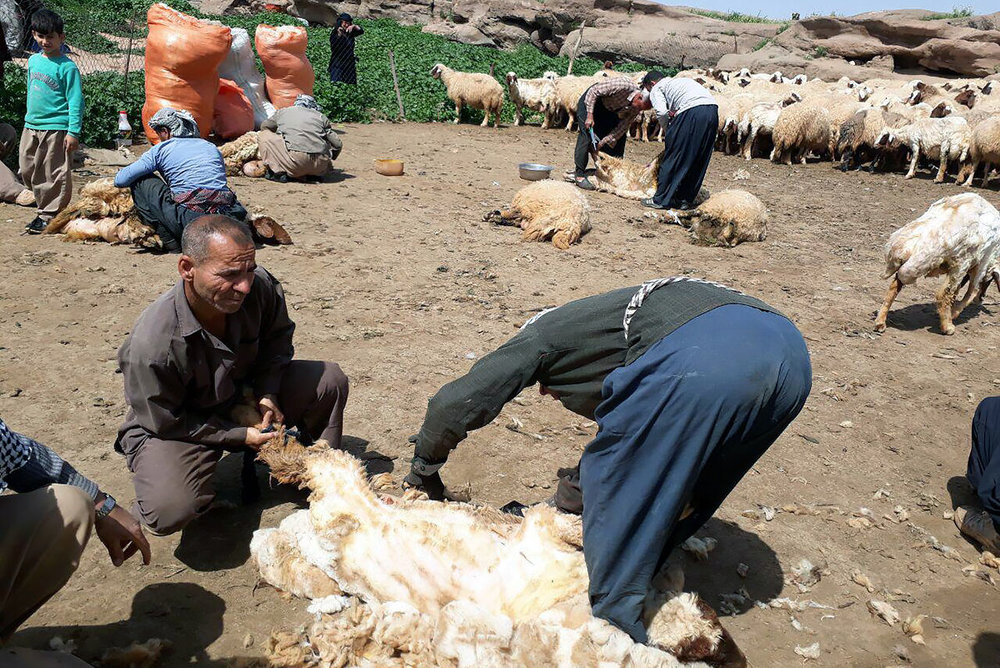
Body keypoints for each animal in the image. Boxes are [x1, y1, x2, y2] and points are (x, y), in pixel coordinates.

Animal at [876, 194, 1000, 336]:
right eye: (991, 281)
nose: (981, 299)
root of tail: (902, 248)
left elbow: (959, 290)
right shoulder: (981, 262)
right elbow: (971, 291)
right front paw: (954, 313)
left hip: (915, 268)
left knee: (895, 285)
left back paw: (880, 322)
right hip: (957, 263)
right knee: (943, 294)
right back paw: (947, 327)